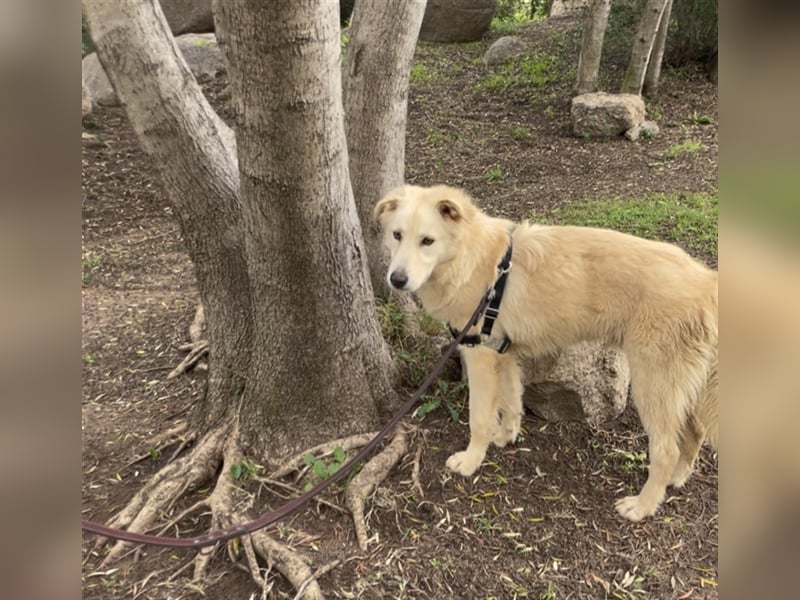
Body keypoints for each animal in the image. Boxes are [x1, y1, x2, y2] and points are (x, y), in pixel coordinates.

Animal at [376, 184, 720, 520]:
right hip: (681, 385)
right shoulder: (504, 353)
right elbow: (512, 402)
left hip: (653, 383)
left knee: (666, 450)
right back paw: (677, 478)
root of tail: (706, 281)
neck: (475, 261)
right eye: (397, 235)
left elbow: (479, 417)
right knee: (695, 432)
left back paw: (643, 505)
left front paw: (471, 460)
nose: (397, 280)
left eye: (427, 241)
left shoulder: (479, 356)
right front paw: (506, 436)